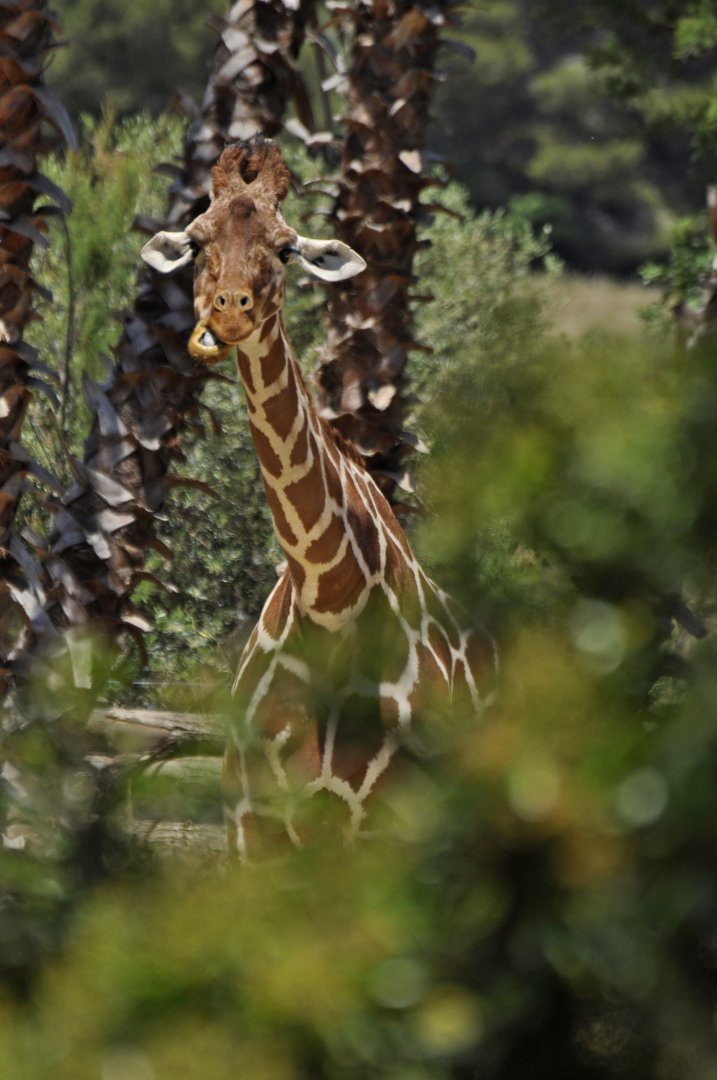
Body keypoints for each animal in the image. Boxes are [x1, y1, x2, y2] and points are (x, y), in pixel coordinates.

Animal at [142, 138, 497, 858]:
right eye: (195, 241)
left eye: (285, 248)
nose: (227, 310)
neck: (330, 603)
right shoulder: (251, 828)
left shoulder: (392, 832)